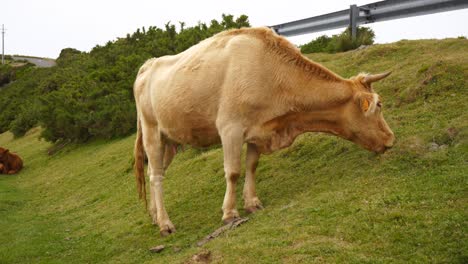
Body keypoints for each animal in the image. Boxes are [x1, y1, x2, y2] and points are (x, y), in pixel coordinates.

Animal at [133, 27, 394, 235]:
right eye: (379, 105)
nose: (391, 139)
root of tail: (148, 64)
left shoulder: (259, 129)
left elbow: (251, 166)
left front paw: (252, 202)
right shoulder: (230, 128)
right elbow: (233, 172)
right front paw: (230, 212)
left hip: (169, 141)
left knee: (156, 172)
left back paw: (155, 216)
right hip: (152, 132)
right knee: (156, 176)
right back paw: (165, 224)